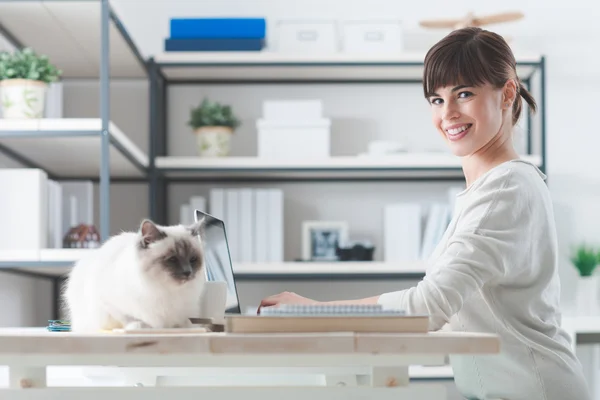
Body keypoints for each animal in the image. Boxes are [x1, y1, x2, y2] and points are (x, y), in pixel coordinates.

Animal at [63, 217, 207, 332]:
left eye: (193, 259)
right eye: (172, 259)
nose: (188, 272)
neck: (165, 289)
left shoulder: (184, 313)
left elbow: (184, 323)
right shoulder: (108, 303)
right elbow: (130, 318)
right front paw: (142, 327)